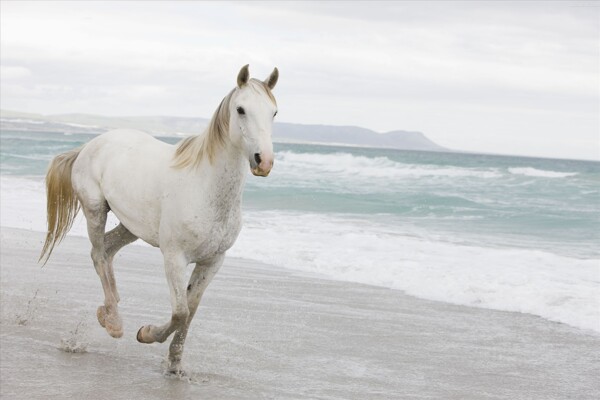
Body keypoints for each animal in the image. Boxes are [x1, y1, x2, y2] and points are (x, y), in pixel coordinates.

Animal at [39, 64, 278, 374]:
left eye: (274, 112)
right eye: (241, 109)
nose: (264, 161)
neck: (205, 186)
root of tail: (90, 145)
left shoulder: (212, 261)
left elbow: (191, 311)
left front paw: (175, 364)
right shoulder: (174, 257)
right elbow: (180, 312)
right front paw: (146, 333)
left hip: (131, 226)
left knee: (107, 250)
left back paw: (109, 310)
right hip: (95, 210)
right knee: (98, 254)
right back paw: (114, 322)